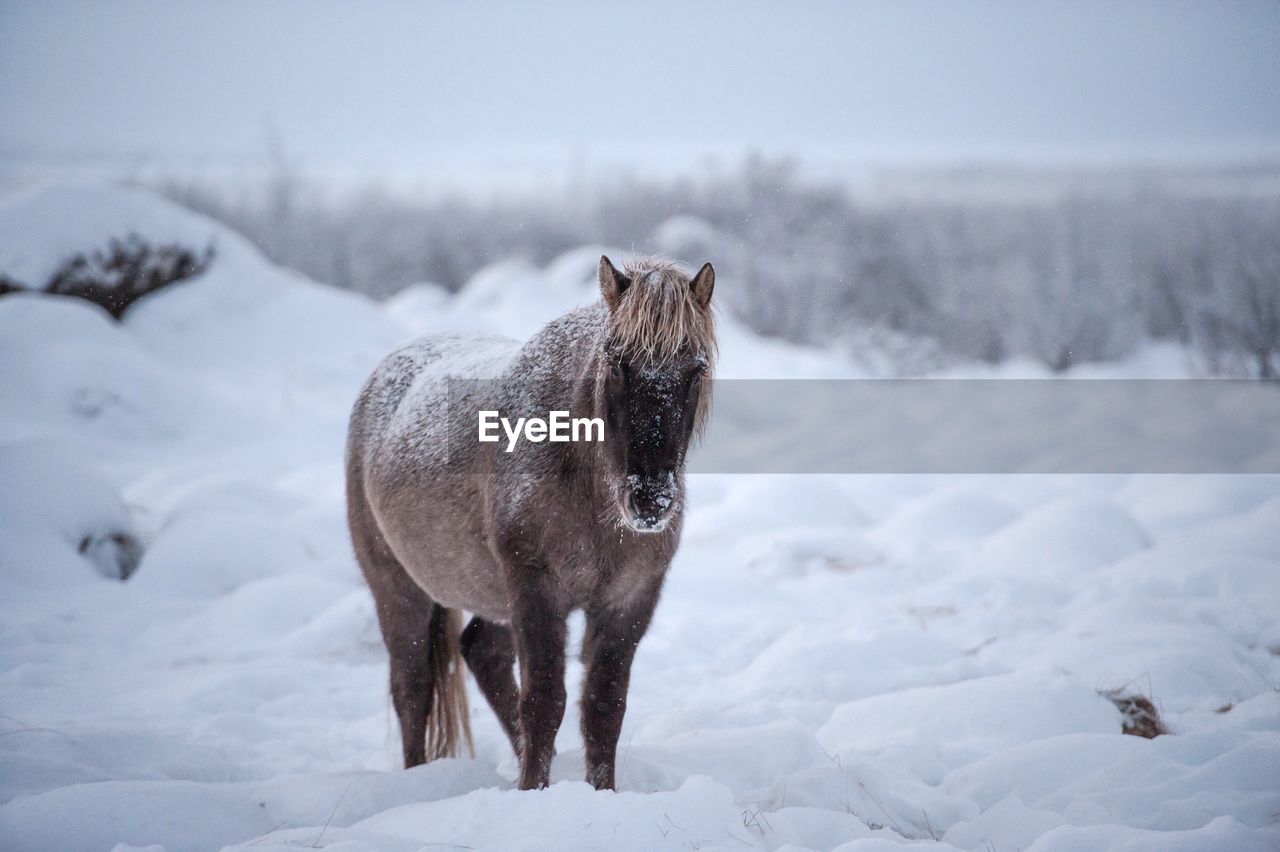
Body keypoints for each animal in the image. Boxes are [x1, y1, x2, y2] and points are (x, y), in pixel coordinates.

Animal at [345, 253, 716, 788]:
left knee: (482, 652)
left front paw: (599, 792)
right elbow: (544, 702)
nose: (651, 500)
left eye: (695, 370)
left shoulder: (628, 599)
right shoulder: (537, 588)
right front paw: (533, 792)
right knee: (412, 689)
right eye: (617, 364)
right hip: (399, 587)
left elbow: (604, 707)